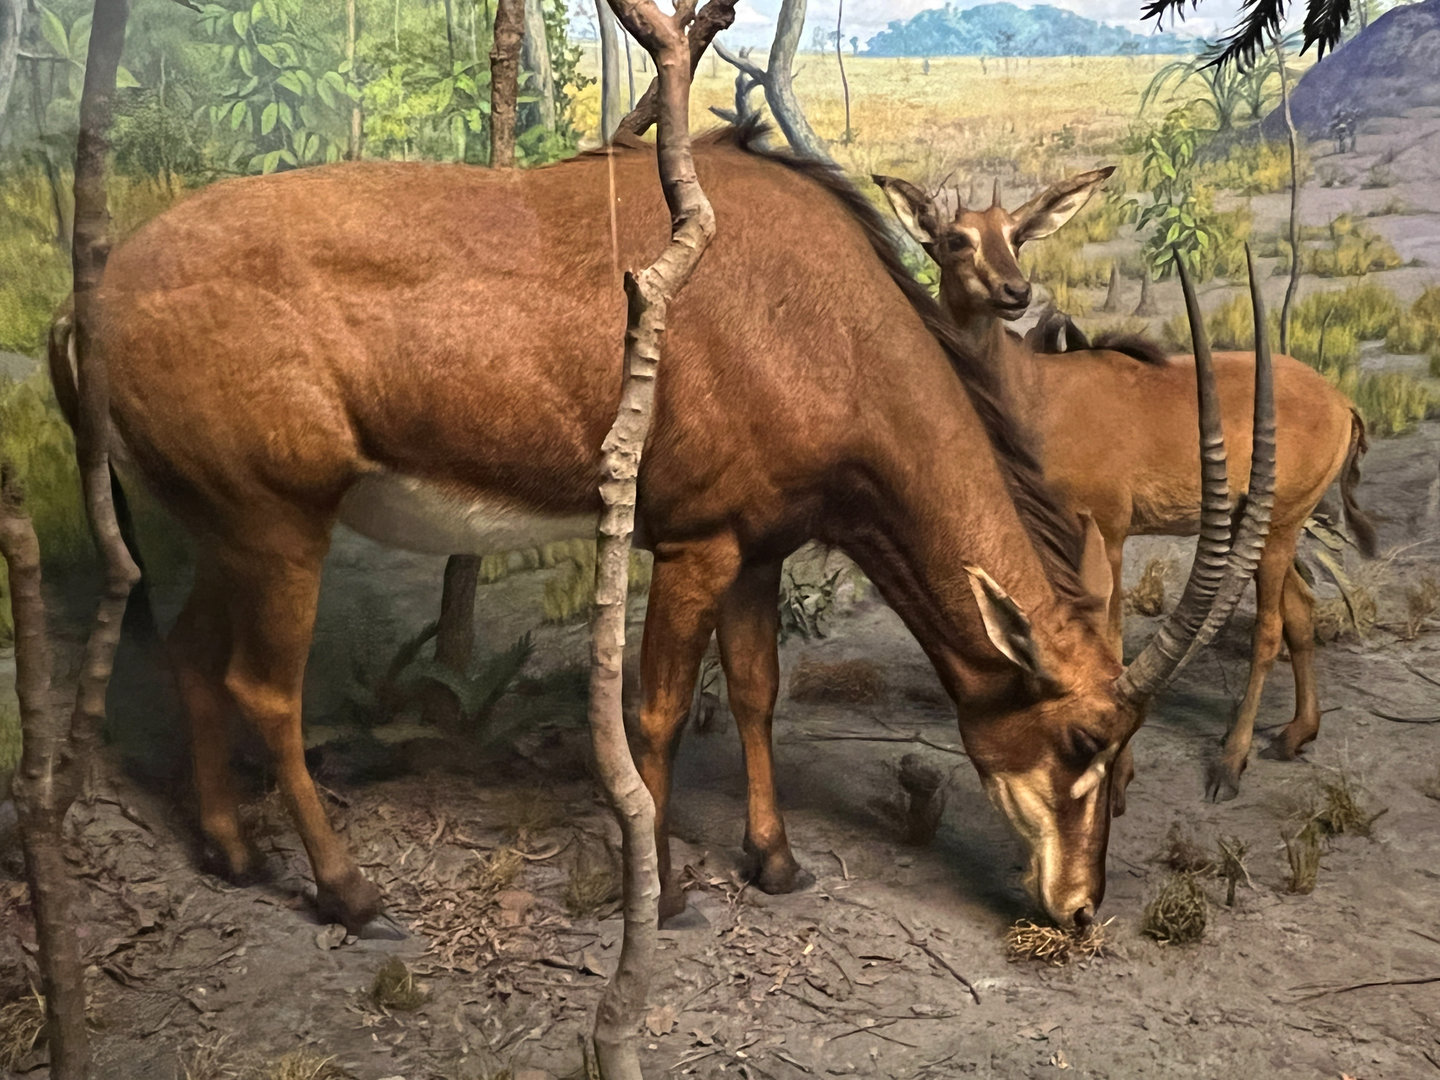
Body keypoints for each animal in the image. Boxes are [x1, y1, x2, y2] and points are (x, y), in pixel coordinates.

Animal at [55, 122, 1271, 936]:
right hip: (282, 529)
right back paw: (350, 894)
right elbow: (658, 710)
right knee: (265, 688)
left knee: (193, 655)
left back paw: (227, 850)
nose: (1079, 908)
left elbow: (760, 691)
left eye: (1126, 759)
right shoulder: (694, 545)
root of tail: (92, 300)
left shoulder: (760, 547)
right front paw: (672, 889)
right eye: (1084, 742)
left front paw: (775, 862)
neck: (823, 316)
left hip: (228, 531)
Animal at [874, 170, 1375, 804]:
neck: (1034, 389)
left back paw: (1230, 763)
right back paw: (1295, 735)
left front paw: (1120, 774)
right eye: (956, 239)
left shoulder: (1108, 532)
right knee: (1302, 611)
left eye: (1017, 235)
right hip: (1263, 527)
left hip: (1280, 525)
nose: (1016, 291)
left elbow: (1110, 637)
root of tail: (1342, 401)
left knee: (1269, 629)